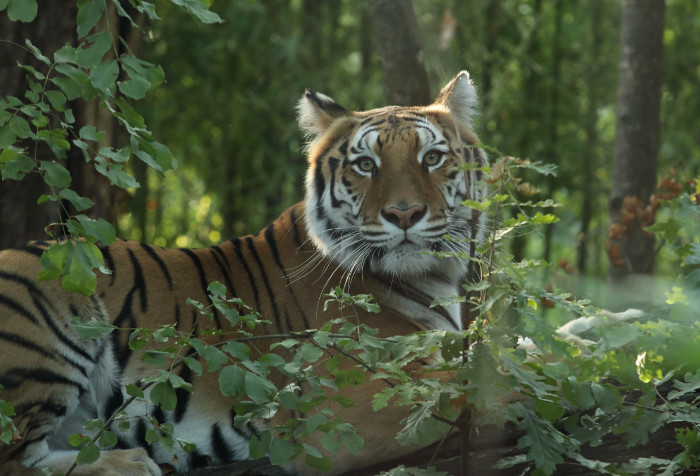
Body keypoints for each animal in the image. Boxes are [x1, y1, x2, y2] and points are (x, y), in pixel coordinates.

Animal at [0, 71, 486, 476]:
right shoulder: (341, 409)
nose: (404, 214)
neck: (431, 278)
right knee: (16, 460)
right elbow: (474, 381)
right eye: (366, 164)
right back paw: (129, 462)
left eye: (432, 157)